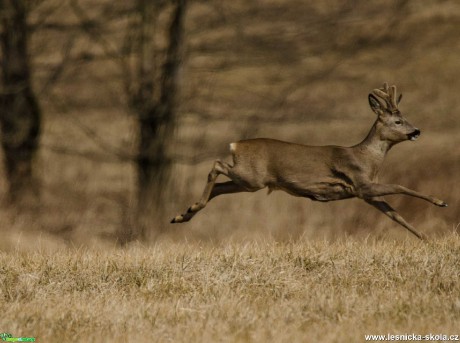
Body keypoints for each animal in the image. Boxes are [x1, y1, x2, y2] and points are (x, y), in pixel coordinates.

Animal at [171, 83, 448, 241]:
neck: (366, 158)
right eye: (398, 121)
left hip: (247, 182)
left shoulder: (366, 194)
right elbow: (401, 187)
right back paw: (187, 211)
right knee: (216, 165)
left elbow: (394, 214)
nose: (417, 131)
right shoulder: (361, 184)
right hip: (251, 177)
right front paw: (440, 202)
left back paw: (184, 214)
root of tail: (235, 144)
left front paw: (426, 239)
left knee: (219, 186)